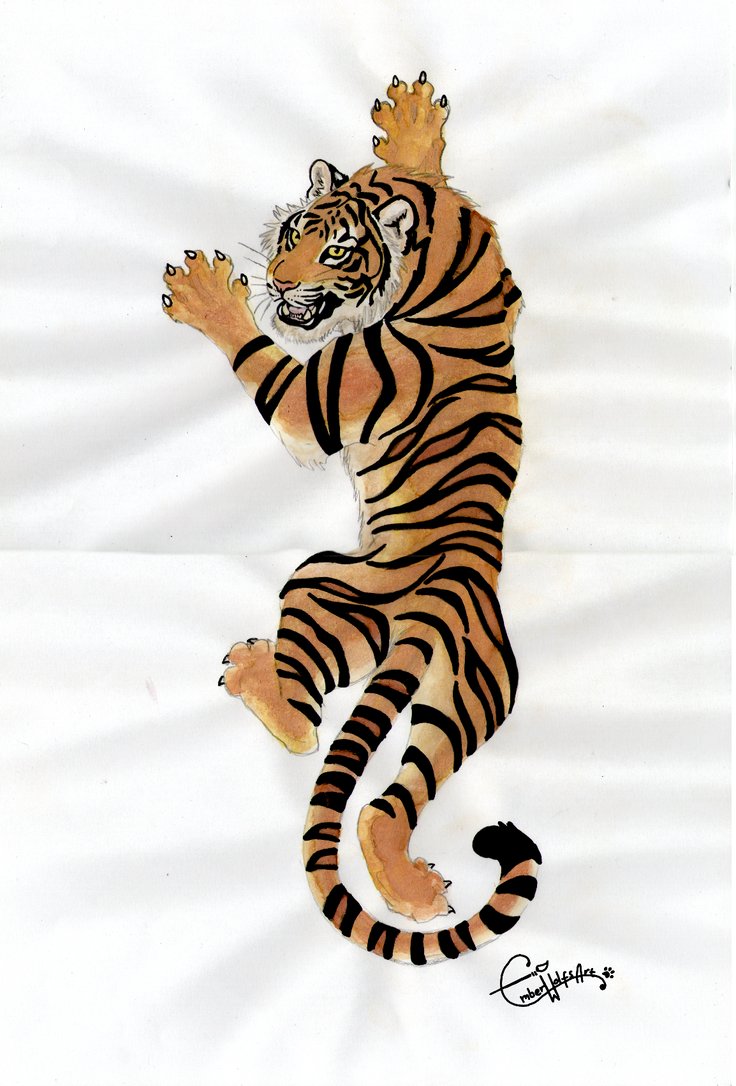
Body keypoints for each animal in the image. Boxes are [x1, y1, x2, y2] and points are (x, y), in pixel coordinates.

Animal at [162, 72, 542, 965]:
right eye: (295, 230)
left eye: (337, 251)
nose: (277, 277)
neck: (443, 248)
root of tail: (442, 599)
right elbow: (423, 162)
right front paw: (413, 121)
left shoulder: (318, 400)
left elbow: (268, 366)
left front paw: (207, 292)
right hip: (470, 697)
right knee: (381, 802)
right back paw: (411, 887)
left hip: (319, 583)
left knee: (305, 730)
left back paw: (252, 671)